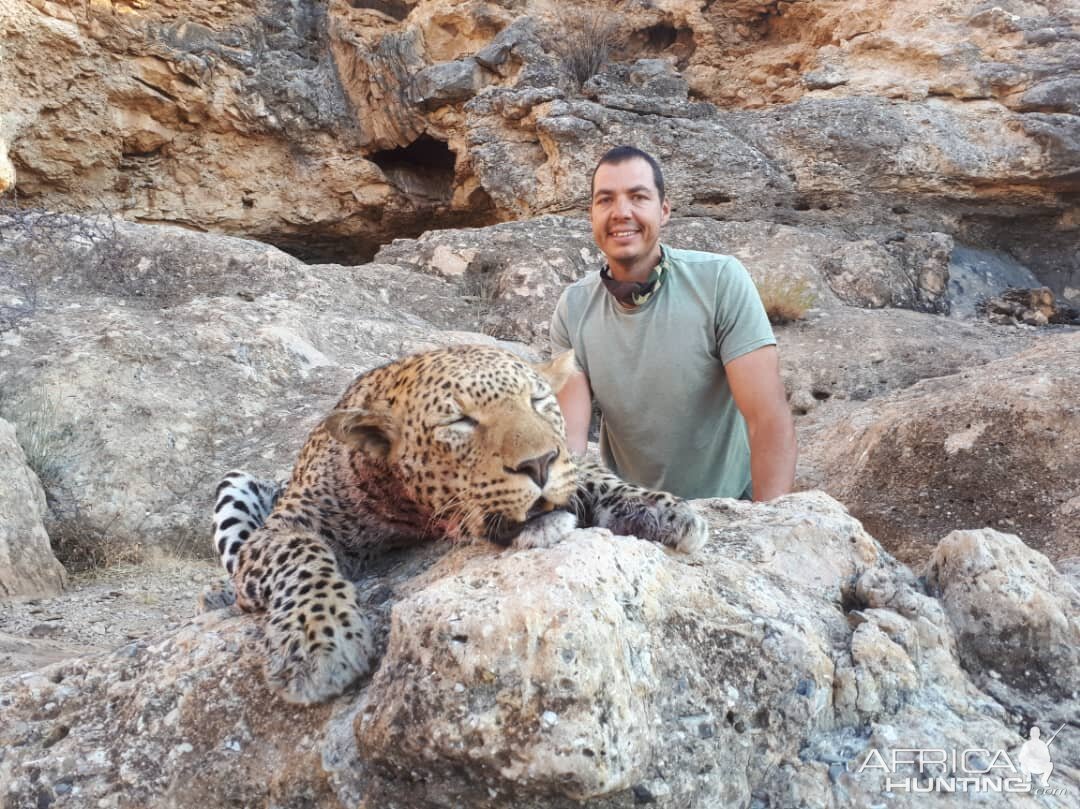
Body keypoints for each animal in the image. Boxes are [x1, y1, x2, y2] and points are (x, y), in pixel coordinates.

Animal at [210, 343, 708, 704]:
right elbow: (301, 552)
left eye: (538, 400)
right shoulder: (284, 527)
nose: (539, 463)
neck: (407, 508)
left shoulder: (574, 458)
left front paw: (662, 508)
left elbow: (594, 475)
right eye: (460, 421)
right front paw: (319, 642)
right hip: (233, 484)